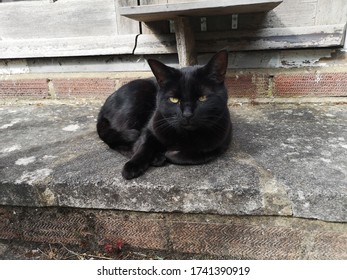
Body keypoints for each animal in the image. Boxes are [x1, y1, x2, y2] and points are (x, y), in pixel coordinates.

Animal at [98, 50, 232, 179]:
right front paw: (133, 165)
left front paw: (170, 153)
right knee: (117, 142)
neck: (186, 135)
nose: (187, 114)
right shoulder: (150, 128)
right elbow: (143, 146)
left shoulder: (220, 143)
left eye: (202, 98)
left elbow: (198, 154)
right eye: (174, 99)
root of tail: (103, 106)